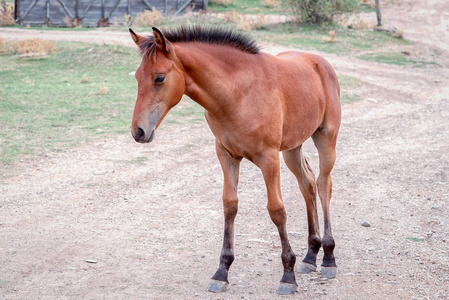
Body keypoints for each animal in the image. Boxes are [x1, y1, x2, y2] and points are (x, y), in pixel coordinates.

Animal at [129, 26, 340, 296]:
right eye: (137, 77)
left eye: (159, 78)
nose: (138, 132)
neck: (237, 94)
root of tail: (320, 62)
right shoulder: (226, 155)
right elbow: (229, 205)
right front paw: (222, 272)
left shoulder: (268, 158)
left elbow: (277, 210)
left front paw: (287, 275)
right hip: (292, 148)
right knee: (308, 184)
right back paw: (311, 256)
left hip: (325, 140)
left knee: (324, 185)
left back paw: (328, 258)